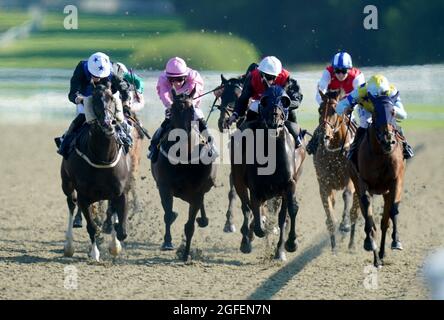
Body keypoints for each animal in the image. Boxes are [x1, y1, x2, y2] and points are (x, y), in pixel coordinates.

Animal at [60, 84, 131, 262]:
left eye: (111, 98)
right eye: (95, 100)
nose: (107, 123)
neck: (102, 158)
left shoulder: (120, 192)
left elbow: (121, 229)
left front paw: (115, 246)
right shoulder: (84, 197)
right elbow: (91, 226)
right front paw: (95, 253)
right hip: (66, 184)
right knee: (71, 204)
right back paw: (68, 246)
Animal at [151, 88, 217, 262]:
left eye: (191, 109)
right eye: (172, 110)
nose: (179, 134)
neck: (184, 157)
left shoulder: (197, 191)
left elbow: (189, 226)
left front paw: (186, 254)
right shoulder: (164, 186)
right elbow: (168, 215)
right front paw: (168, 243)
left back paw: (203, 220)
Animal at [229, 86, 306, 262]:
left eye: (284, 100)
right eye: (264, 101)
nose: (274, 121)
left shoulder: (289, 185)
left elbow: (289, 211)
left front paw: (289, 245)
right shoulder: (255, 188)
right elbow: (257, 218)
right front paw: (258, 230)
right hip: (238, 180)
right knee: (246, 207)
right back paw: (246, 241)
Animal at [314, 89, 360, 250]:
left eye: (335, 110)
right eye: (320, 109)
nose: (324, 135)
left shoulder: (351, 181)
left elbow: (346, 195)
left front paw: (344, 225)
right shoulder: (324, 184)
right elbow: (329, 216)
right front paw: (334, 248)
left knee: (354, 213)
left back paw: (352, 244)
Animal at [348, 94, 408, 268]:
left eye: (393, 111)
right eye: (374, 112)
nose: (388, 140)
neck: (381, 154)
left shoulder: (396, 181)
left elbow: (393, 211)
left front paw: (396, 241)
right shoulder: (363, 183)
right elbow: (368, 215)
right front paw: (369, 243)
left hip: (386, 192)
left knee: (384, 222)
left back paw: (381, 253)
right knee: (369, 218)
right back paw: (376, 256)